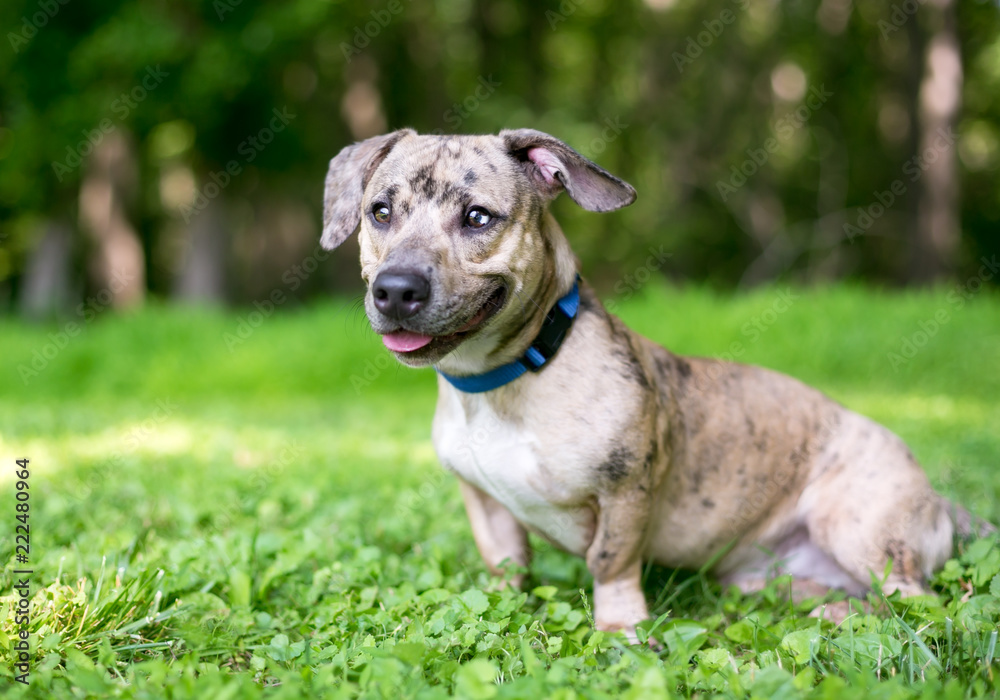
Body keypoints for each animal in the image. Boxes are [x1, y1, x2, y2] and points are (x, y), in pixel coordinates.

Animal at [318, 129, 984, 636]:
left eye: (478, 217)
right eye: (380, 212)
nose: (396, 290)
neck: (508, 376)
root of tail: (935, 497)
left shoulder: (625, 491)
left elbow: (610, 562)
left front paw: (621, 629)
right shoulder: (485, 506)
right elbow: (507, 569)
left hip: (858, 528)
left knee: (918, 600)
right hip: (772, 573)